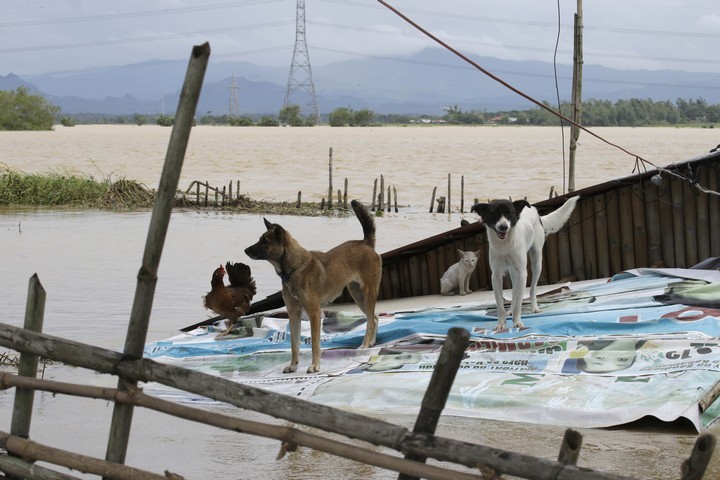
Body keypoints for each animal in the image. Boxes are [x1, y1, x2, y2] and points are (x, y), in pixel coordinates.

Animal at [245, 201, 382, 374]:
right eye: (260, 240)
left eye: (265, 242)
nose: (246, 250)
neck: (294, 269)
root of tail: (366, 243)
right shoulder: (293, 313)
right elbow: (294, 344)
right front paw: (293, 365)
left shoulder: (314, 313)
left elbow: (315, 344)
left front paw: (315, 365)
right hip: (357, 294)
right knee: (374, 317)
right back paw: (371, 343)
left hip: (368, 292)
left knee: (370, 320)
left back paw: (364, 345)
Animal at [472, 196, 580, 330]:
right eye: (493, 213)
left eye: (510, 213)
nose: (503, 227)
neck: (505, 244)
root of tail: (534, 209)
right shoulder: (496, 276)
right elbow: (500, 304)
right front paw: (501, 324)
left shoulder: (522, 273)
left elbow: (519, 301)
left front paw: (517, 322)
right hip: (513, 271)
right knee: (514, 291)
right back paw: (510, 310)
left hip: (536, 261)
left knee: (532, 289)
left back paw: (534, 308)